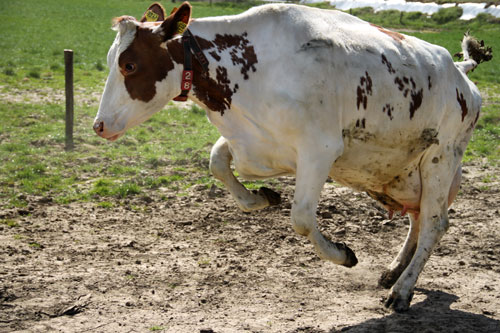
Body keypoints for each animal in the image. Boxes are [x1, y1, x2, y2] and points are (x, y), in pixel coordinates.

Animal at [94, 1, 492, 310]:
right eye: (112, 59)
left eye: (130, 65)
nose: (99, 125)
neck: (254, 66)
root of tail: (461, 73)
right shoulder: (253, 140)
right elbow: (217, 163)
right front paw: (261, 198)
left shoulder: (319, 150)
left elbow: (301, 217)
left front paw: (343, 254)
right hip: (407, 174)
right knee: (418, 219)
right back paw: (393, 272)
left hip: (441, 158)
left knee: (435, 224)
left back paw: (402, 290)